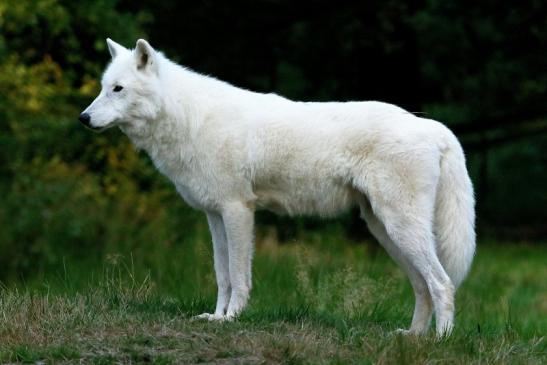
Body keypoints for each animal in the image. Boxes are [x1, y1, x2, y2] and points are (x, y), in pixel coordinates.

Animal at [80, 39, 476, 336]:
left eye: (118, 89)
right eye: (102, 88)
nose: (83, 118)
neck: (189, 118)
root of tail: (434, 128)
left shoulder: (238, 210)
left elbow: (239, 276)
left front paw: (231, 318)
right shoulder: (215, 215)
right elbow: (222, 275)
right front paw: (215, 317)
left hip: (400, 228)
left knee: (442, 284)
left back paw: (439, 341)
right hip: (385, 231)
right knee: (423, 287)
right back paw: (412, 337)